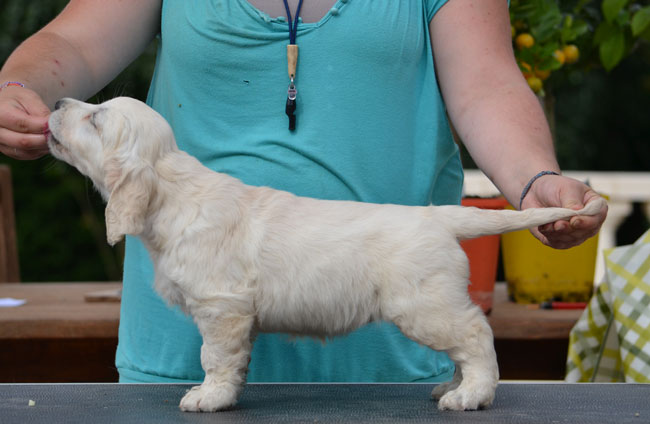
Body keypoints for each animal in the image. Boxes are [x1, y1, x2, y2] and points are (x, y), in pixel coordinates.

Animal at [48, 97, 604, 412]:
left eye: (95, 119)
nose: (55, 99)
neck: (174, 191)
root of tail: (439, 217)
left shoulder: (222, 309)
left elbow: (215, 359)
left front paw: (209, 397)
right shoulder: (236, 316)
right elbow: (235, 361)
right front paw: (227, 395)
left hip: (425, 307)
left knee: (476, 336)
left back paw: (471, 395)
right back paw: (453, 387)